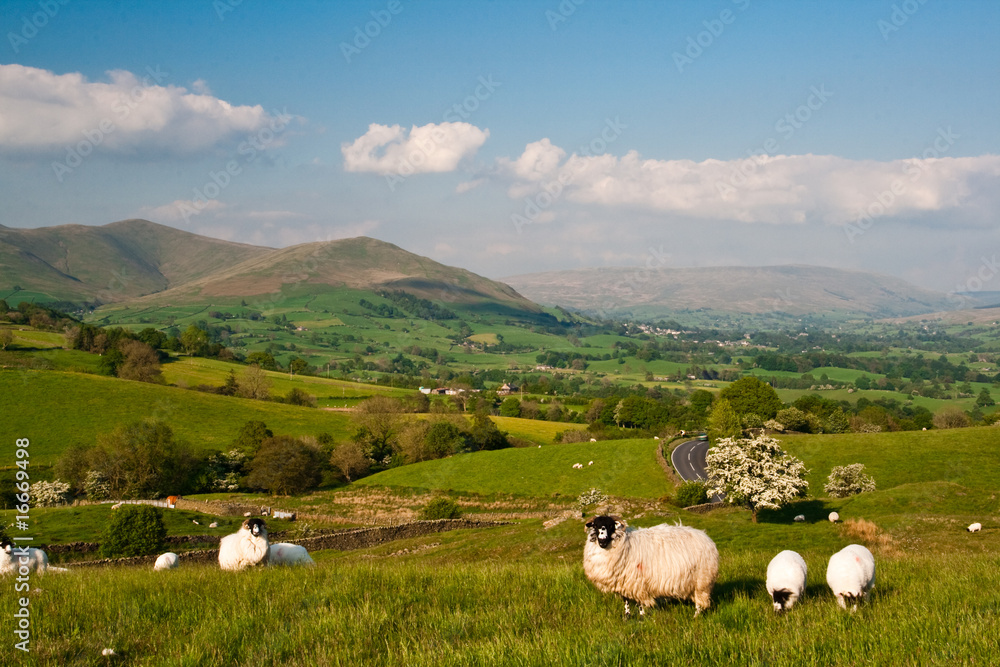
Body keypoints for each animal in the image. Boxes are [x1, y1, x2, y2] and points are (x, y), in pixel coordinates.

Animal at [584, 516, 720, 620]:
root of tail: (705, 537)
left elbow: (640, 602)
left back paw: (696, 616)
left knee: (700, 602)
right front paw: (627, 617)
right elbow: (626, 602)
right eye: (595, 526)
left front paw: (642, 618)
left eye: (610, 526)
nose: (602, 541)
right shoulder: (623, 582)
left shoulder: (637, 582)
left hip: (702, 581)